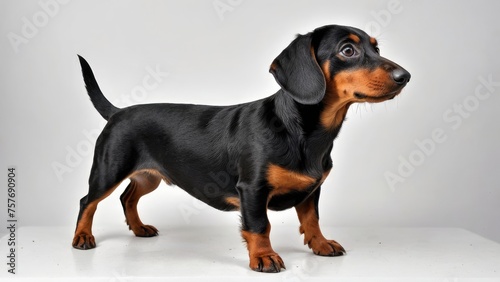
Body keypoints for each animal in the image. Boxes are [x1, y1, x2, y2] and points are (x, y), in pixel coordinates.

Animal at [73, 24, 410, 274]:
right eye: (348, 50)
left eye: (376, 49)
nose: (404, 77)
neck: (303, 131)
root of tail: (118, 112)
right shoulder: (252, 188)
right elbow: (260, 225)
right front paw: (264, 257)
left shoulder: (311, 190)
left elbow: (312, 219)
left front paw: (321, 244)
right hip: (109, 169)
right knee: (88, 201)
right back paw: (83, 237)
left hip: (149, 176)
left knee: (127, 197)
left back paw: (139, 228)